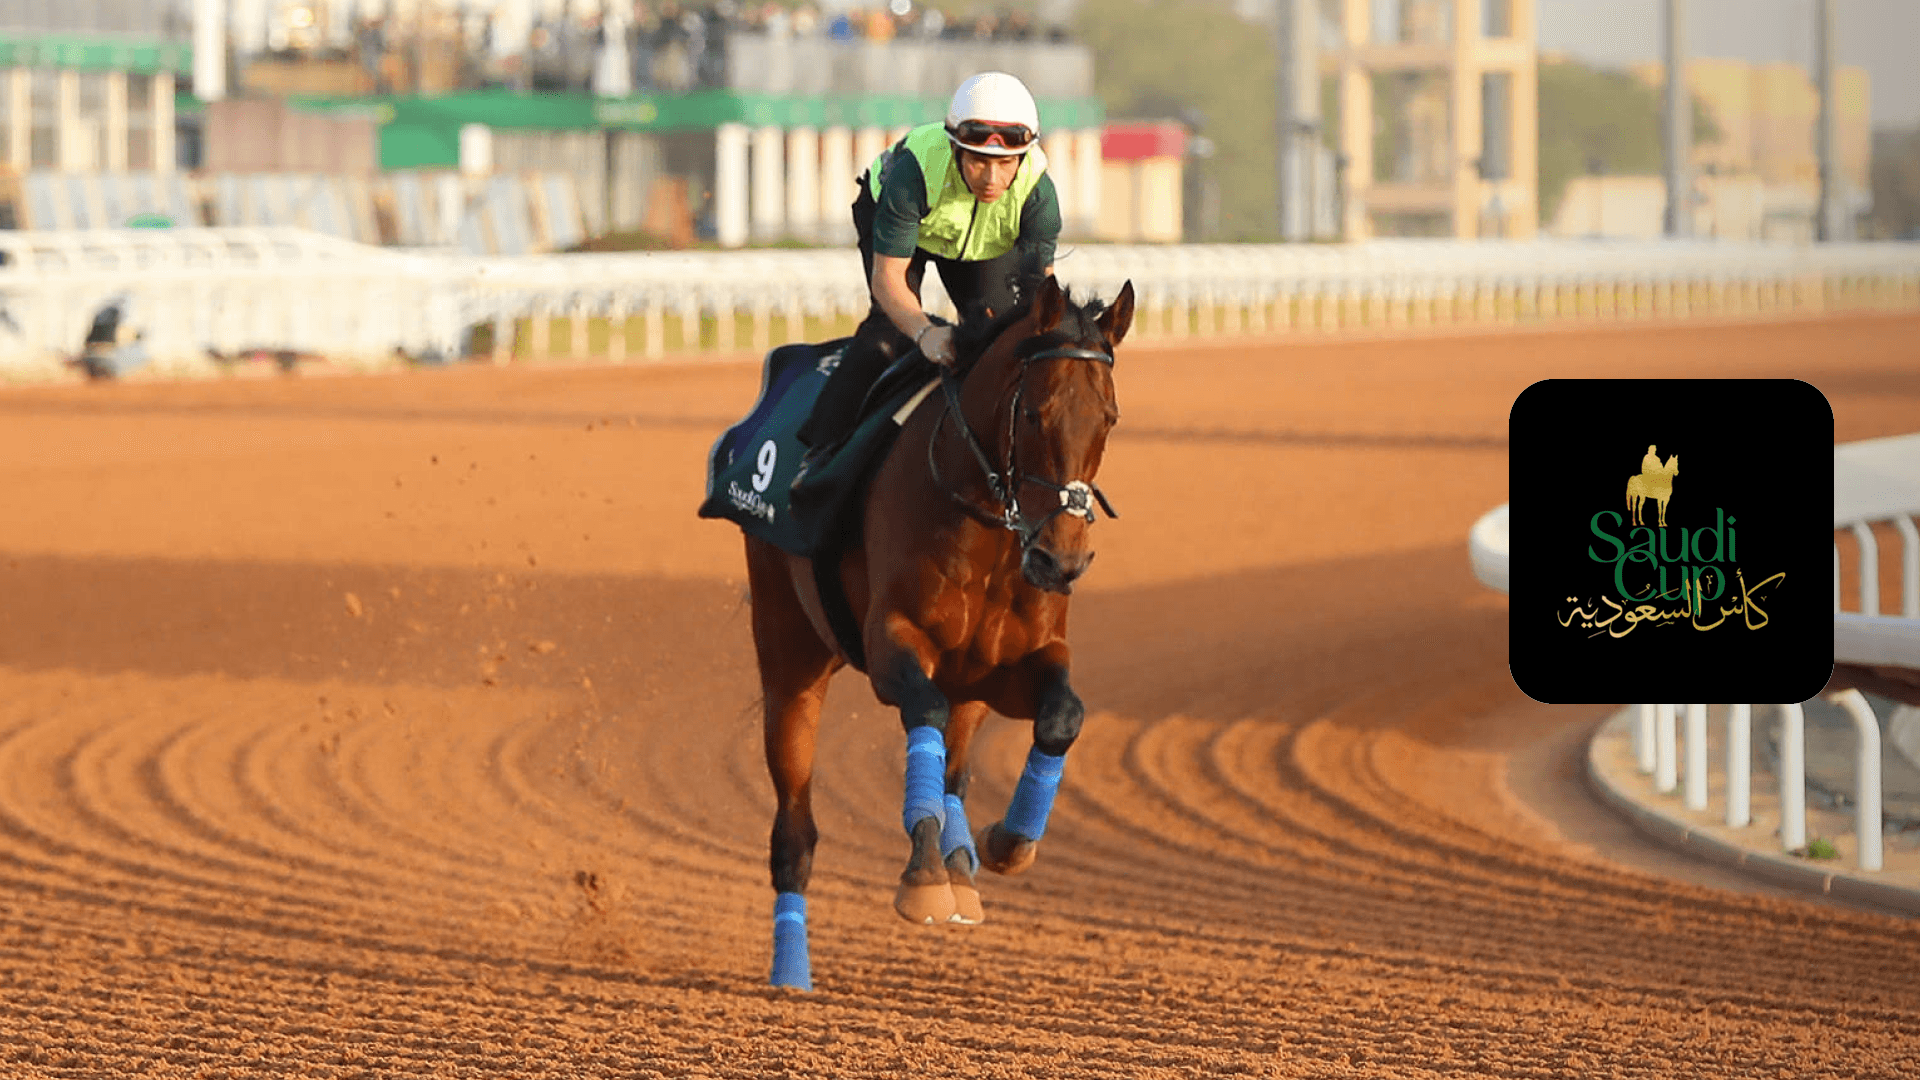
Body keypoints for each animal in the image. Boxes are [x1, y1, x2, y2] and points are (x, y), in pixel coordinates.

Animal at [742, 273, 1134, 990]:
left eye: (1109, 418)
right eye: (1033, 414)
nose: (1062, 561)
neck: (991, 529)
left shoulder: (1018, 660)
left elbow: (1063, 715)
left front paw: (1006, 843)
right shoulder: (892, 641)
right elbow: (920, 708)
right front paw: (924, 879)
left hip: (970, 685)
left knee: (954, 766)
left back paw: (962, 868)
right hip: (788, 650)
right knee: (794, 830)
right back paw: (792, 969)